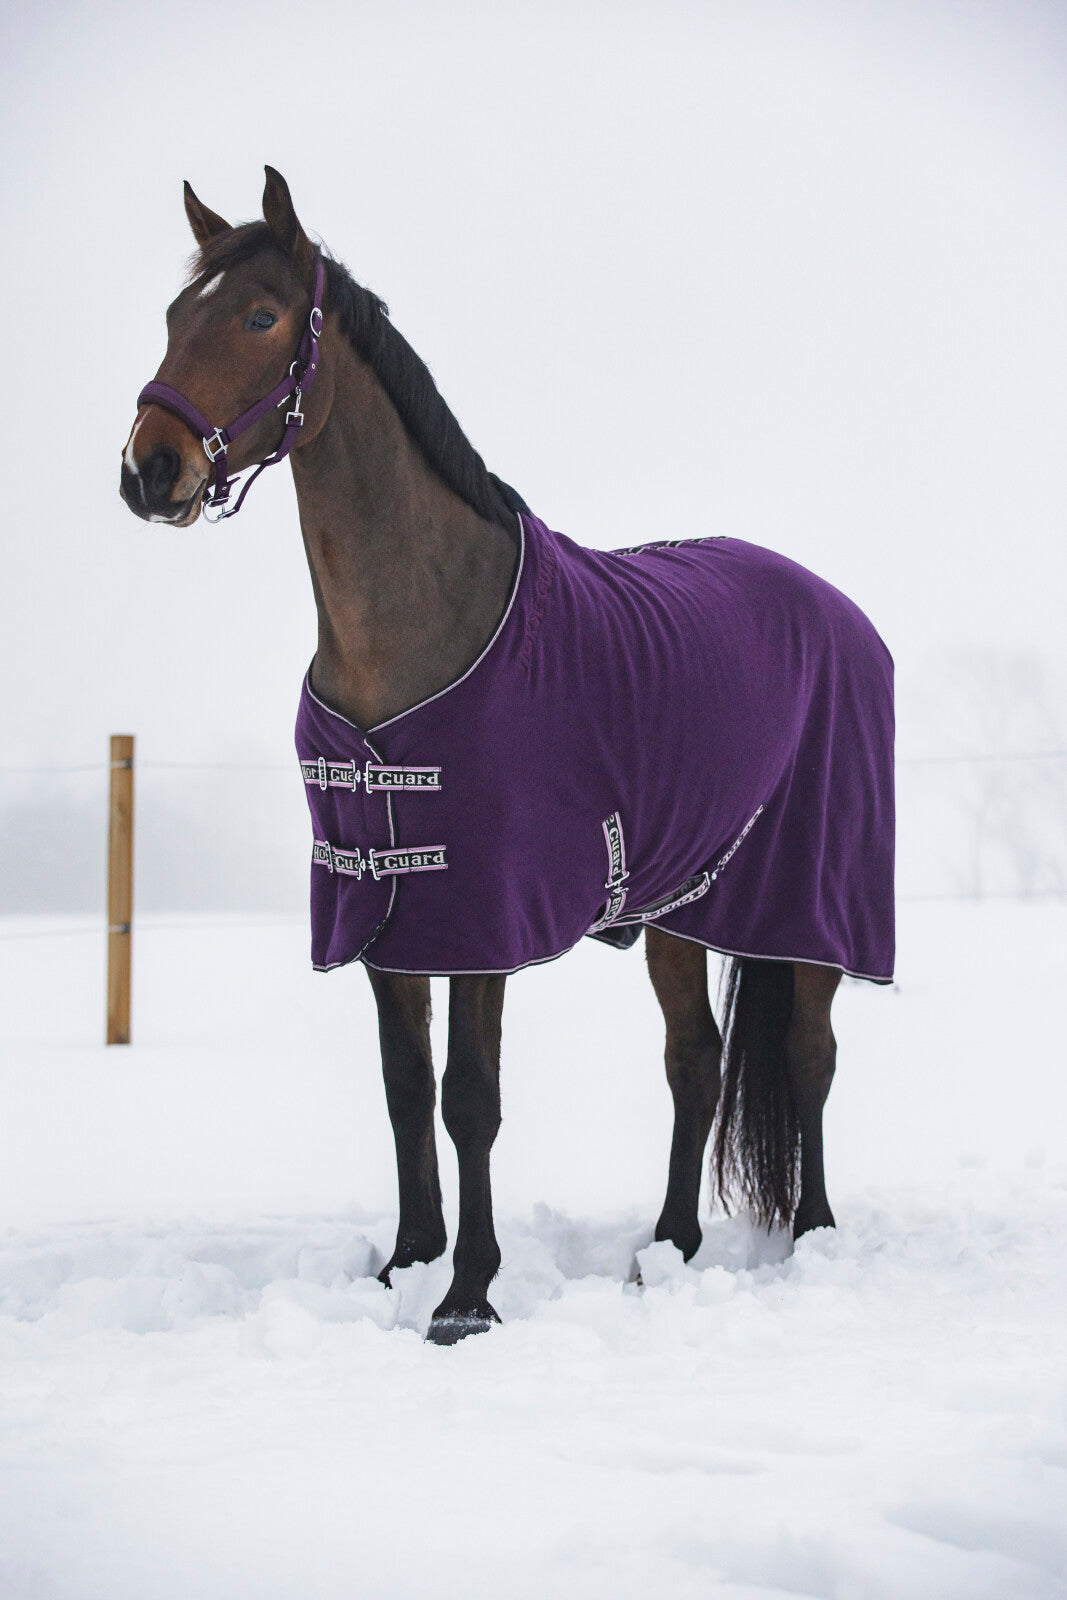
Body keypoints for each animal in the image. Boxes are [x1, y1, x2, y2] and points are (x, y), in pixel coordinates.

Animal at [120, 168, 894, 1345]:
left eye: (257, 317)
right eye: (174, 316)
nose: (148, 470)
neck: (419, 629)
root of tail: (834, 608)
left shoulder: (482, 915)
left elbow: (467, 1098)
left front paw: (466, 1297)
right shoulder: (387, 918)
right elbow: (403, 1089)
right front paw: (404, 1263)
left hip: (811, 900)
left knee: (808, 1057)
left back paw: (810, 1233)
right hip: (682, 905)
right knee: (694, 1062)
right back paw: (667, 1245)